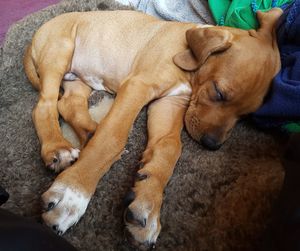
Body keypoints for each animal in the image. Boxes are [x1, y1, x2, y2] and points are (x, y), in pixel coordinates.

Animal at [24, 8, 282, 250]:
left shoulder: (169, 104)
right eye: (218, 92)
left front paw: (147, 204)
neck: (188, 62)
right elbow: (112, 137)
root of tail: (36, 35)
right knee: (45, 105)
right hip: (60, 51)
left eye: (245, 115)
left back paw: (89, 132)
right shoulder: (138, 86)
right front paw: (72, 195)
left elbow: (169, 148)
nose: (212, 144)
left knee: (68, 103)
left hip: (78, 79)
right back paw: (58, 148)